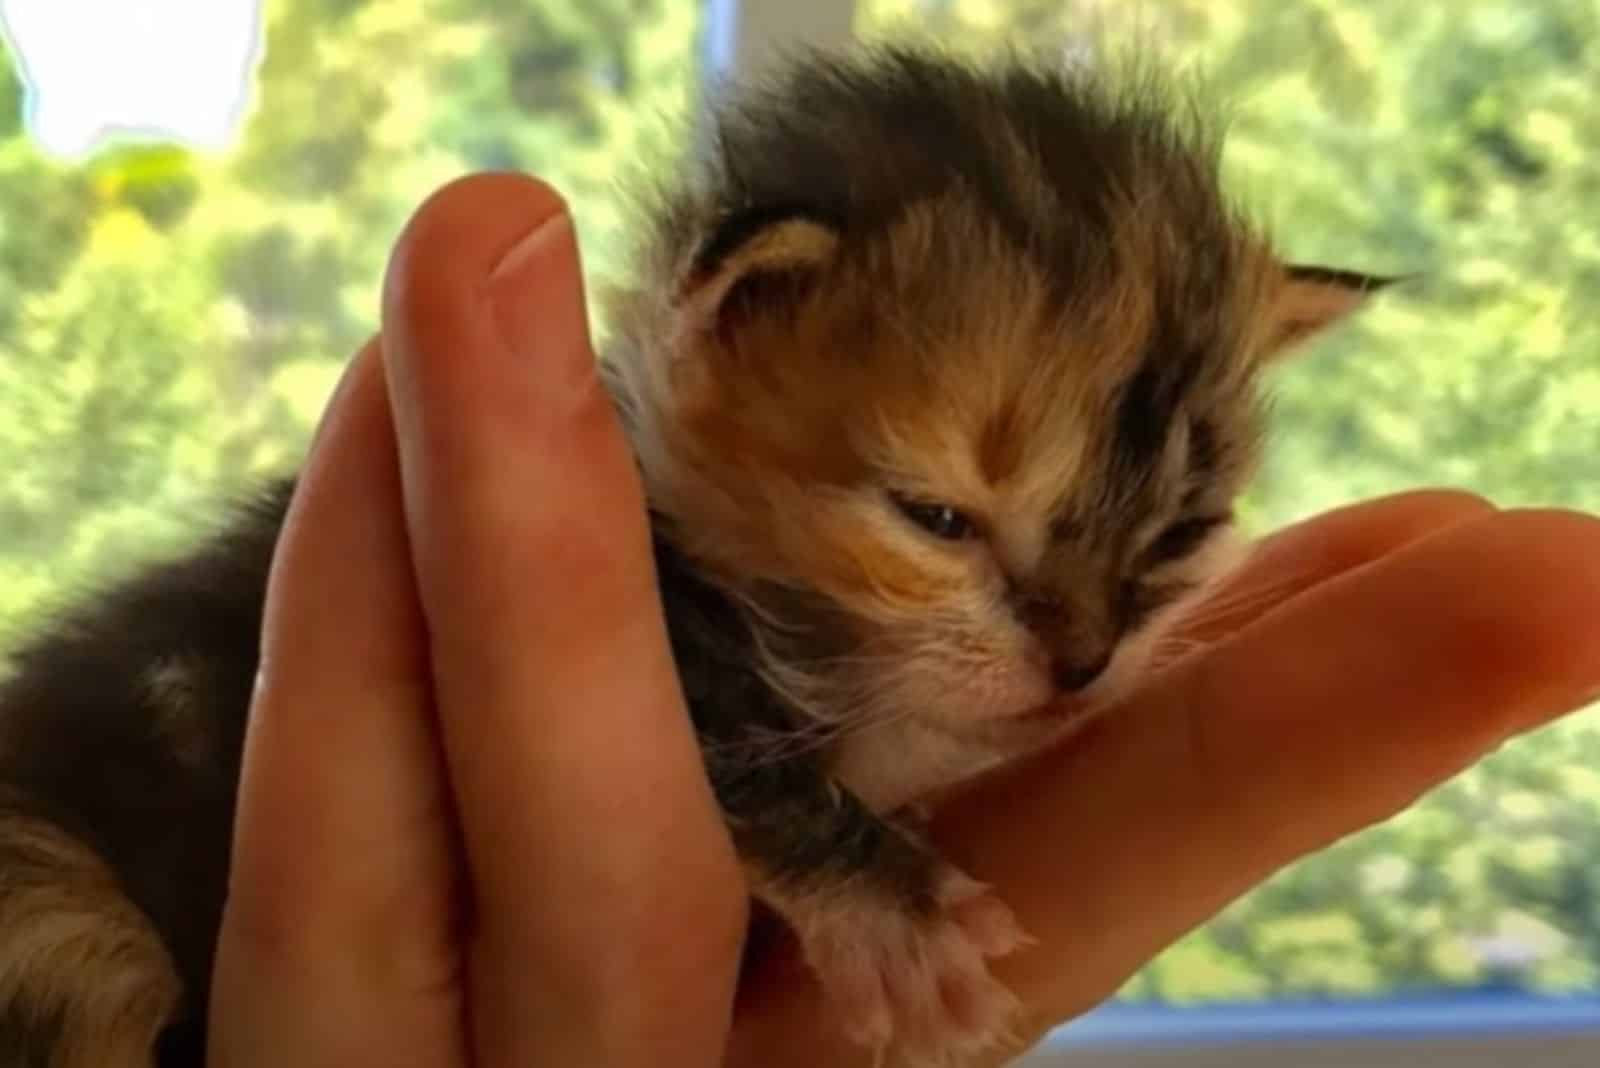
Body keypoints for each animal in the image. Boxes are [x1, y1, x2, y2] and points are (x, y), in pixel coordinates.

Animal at [0, 43, 1388, 1068]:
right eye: (933, 518)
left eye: (1182, 534)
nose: (1082, 661)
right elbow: (740, 751)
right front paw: (895, 912)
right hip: (59, 912)